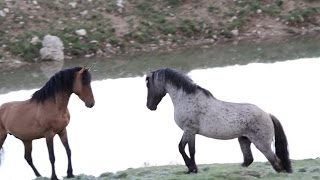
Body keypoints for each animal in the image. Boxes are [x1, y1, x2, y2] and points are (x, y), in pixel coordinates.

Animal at [146, 67, 292, 173]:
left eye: (148, 83)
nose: (150, 106)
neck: (186, 98)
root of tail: (268, 115)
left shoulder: (189, 130)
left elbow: (181, 148)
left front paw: (191, 168)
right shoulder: (191, 132)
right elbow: (191, 150)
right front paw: (193, 169)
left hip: (262, 144)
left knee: (276, 163)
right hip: (244, 140)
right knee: (249, 160)